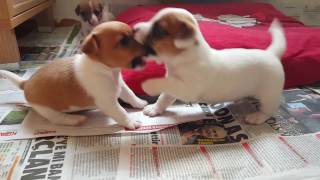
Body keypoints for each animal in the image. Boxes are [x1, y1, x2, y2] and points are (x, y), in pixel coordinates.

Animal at [0, 21, 148, 129]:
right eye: (124, 42)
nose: (148, 47)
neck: (106, 70)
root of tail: (26, 83)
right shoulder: (108, 103)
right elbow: (121, 112)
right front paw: (131, 122)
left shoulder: (121, 86)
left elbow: (130, 94)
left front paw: (140, 103)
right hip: (46, 109)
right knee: (56, 119)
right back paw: (74, 119)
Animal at [134, 7, 286, 124]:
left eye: (159, 30)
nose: (134, 28)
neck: (184, 57)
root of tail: (271, 53)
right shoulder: (173, 84)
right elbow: (164, 97)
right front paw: (155, 108)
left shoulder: (186, 88)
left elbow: (165, 84)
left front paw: (148, 85)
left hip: (269, 93)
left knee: (269, 109)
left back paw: (258, 116)